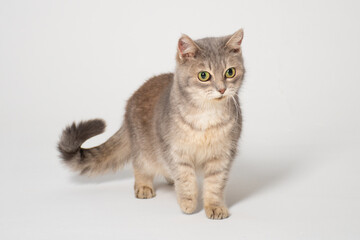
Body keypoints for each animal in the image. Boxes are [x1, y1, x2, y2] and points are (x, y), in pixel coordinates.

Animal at [58, 28, 245, 219]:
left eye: (230, 72)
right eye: (204, 76)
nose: (222, 89)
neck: (206, 115)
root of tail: (131, 101)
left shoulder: (222, 155)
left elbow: (214, 185)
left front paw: (215, 206)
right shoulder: (176, 152)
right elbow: (186, 180)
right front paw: (188, 202)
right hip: (144, 151)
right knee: (139, 166)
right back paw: (144, 186)